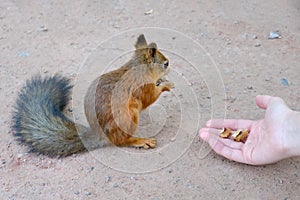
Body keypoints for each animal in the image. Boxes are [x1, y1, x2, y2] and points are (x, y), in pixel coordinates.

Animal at [11, 34, 175, 157]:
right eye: (165, 64)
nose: (170, 69)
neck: (139, 68)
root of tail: (100, 135)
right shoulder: (142, 88)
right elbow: (150, 98)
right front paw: (166, 85)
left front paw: (163, 81)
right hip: (128, 117)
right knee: (121, 141)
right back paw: (139, 140)